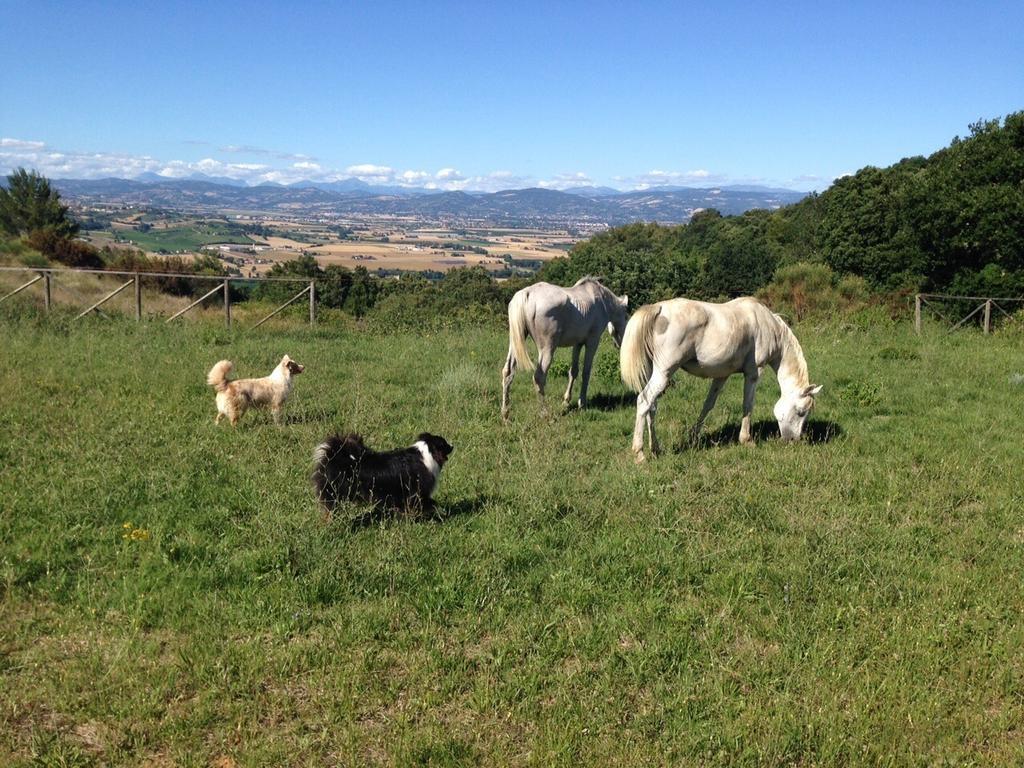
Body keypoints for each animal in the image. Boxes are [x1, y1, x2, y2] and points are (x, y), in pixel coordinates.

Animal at [309, 434, 454, 518]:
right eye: (445, 444)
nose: (453, 446)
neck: (427, 454)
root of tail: (334, 456)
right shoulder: (418, 493)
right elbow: (433, 504)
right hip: (335, 494)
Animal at [499, 278, 626, 421]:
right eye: (626, 316)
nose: (619, 344)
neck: (602, 302)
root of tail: (527, 293)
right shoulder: (592, 342)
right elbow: (586, 372)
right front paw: (582, 403)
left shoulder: (578, 344)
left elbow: (574, 371)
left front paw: (566, 401)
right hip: (547, 349)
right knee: (539, 377)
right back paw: (545, 413)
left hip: (515, 343)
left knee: (508, 373)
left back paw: (505, 413)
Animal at [614, 296, 823, 460]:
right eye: (801, 412)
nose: (793, 440)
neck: (768, 326)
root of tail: (659, 308)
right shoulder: (754, 373)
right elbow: (747, 405)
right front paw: (746, 440)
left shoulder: (722, 375)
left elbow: (708, 405)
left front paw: (694, 437)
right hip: (664, 373)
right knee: (644, 401)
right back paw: (640, 453)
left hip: (656, 374)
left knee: (652, 407)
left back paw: (656, 449)